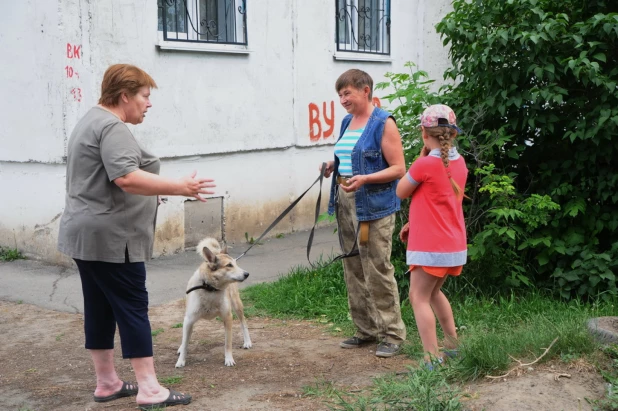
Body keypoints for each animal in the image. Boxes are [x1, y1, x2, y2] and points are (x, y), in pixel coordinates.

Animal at [174, 237, 251, 368]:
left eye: (236, 263)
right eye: (229, 265)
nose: (247, 274)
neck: (210, 289)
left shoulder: (228, 317)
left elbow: (228, 343)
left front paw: (229, 359)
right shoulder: (189, 319)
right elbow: (185, 343)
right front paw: (181, 361)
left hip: (237, 305)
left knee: (243, 322)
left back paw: (247, 341)